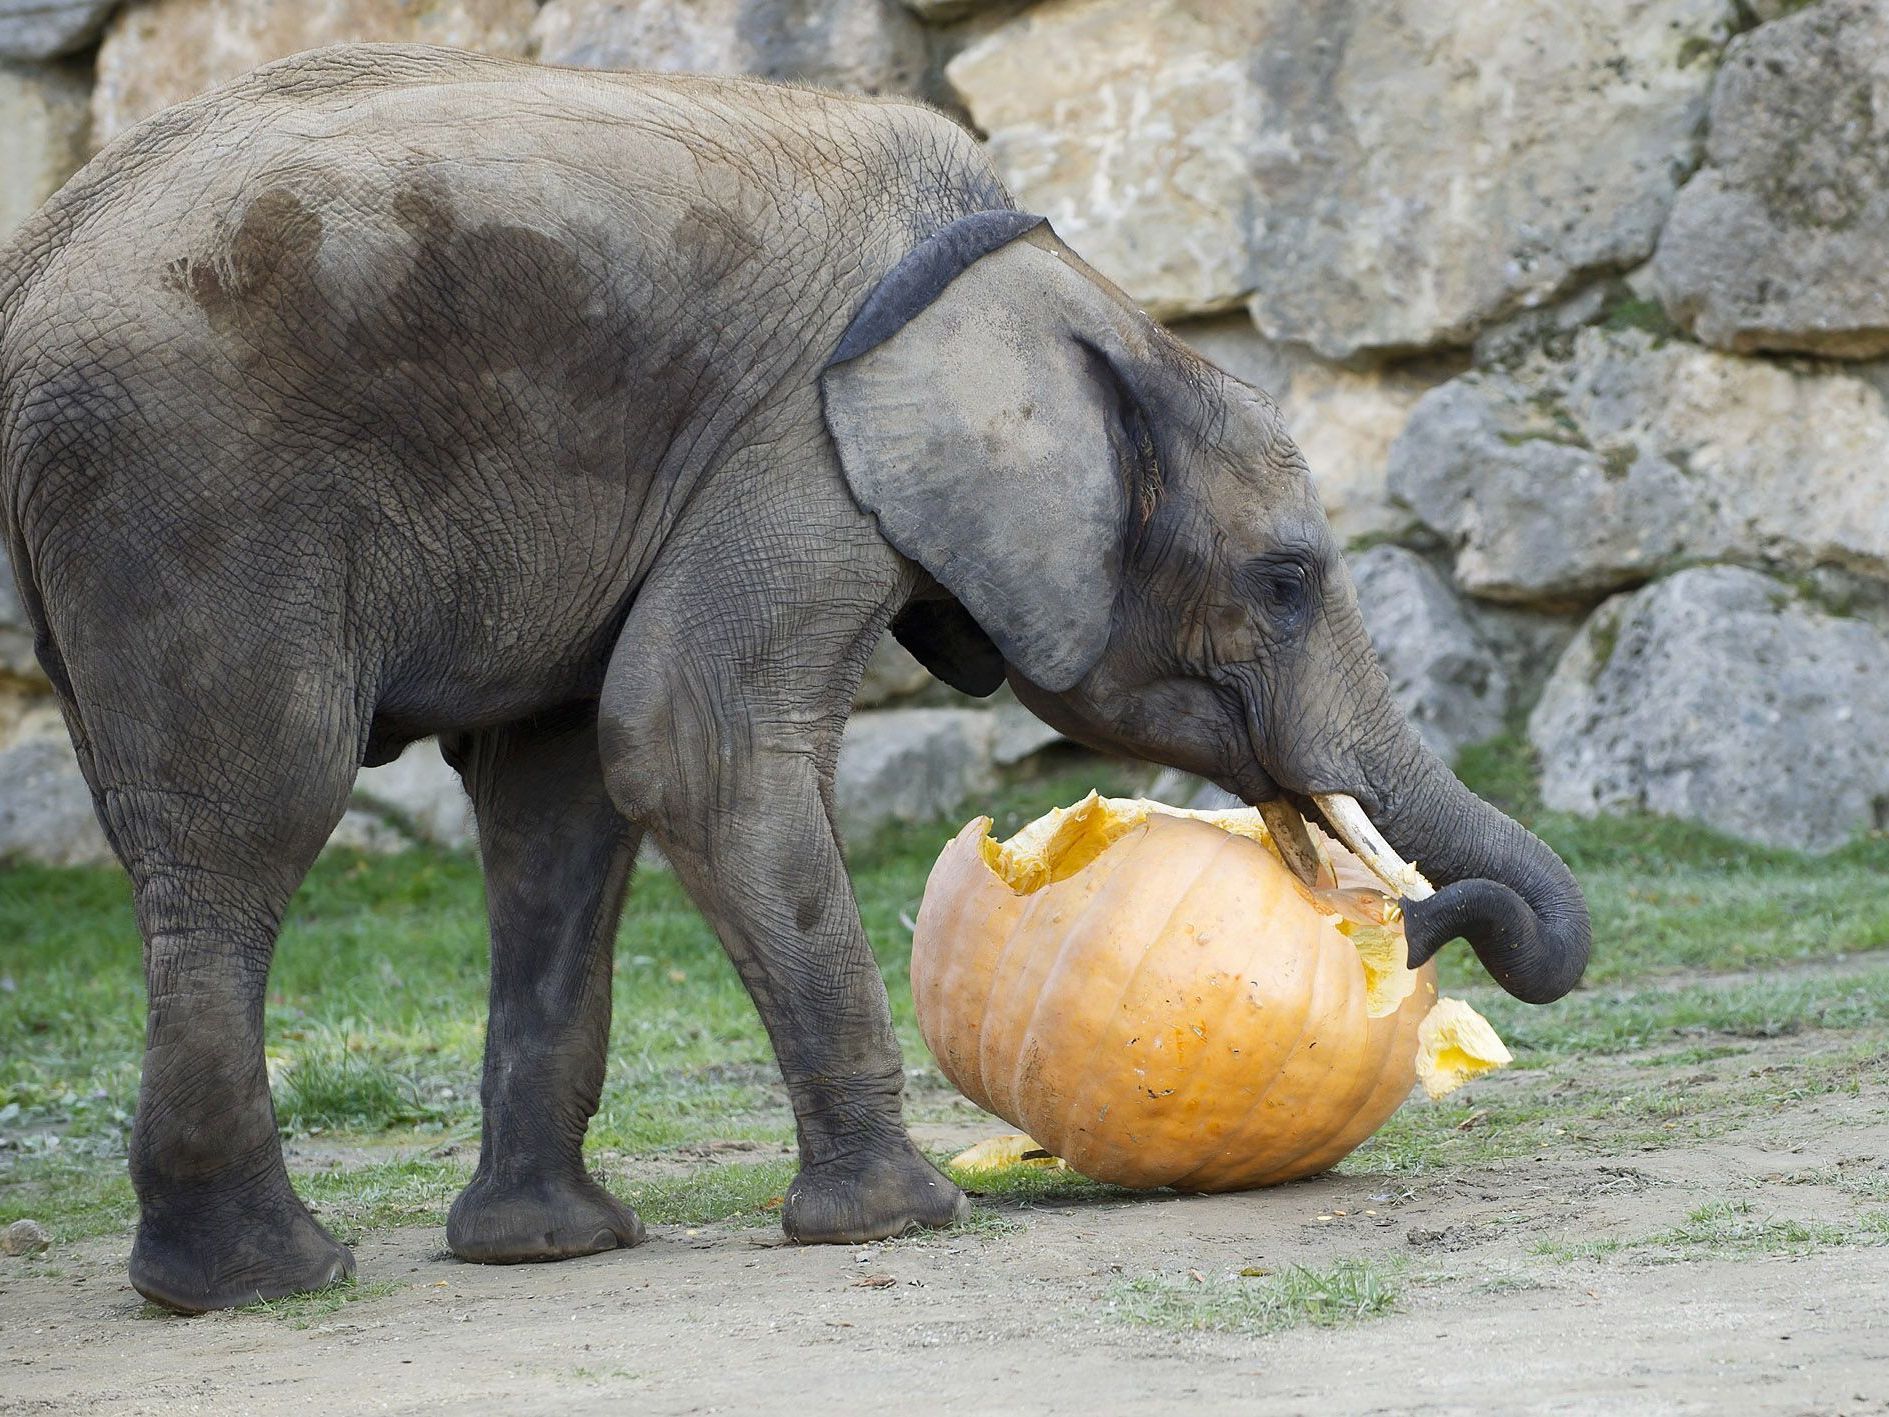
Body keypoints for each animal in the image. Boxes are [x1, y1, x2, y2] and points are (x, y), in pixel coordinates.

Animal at [0, 44, 1594, 1314]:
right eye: (1285, 582)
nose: (1413, 923)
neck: (1056, 294)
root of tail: (37, 266)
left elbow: (562, 796)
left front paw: (553, 1251)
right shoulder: (804, 453)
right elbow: (692, 745)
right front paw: (903, 1221)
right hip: (190, 482)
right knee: (250, 817)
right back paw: (265, 1282)